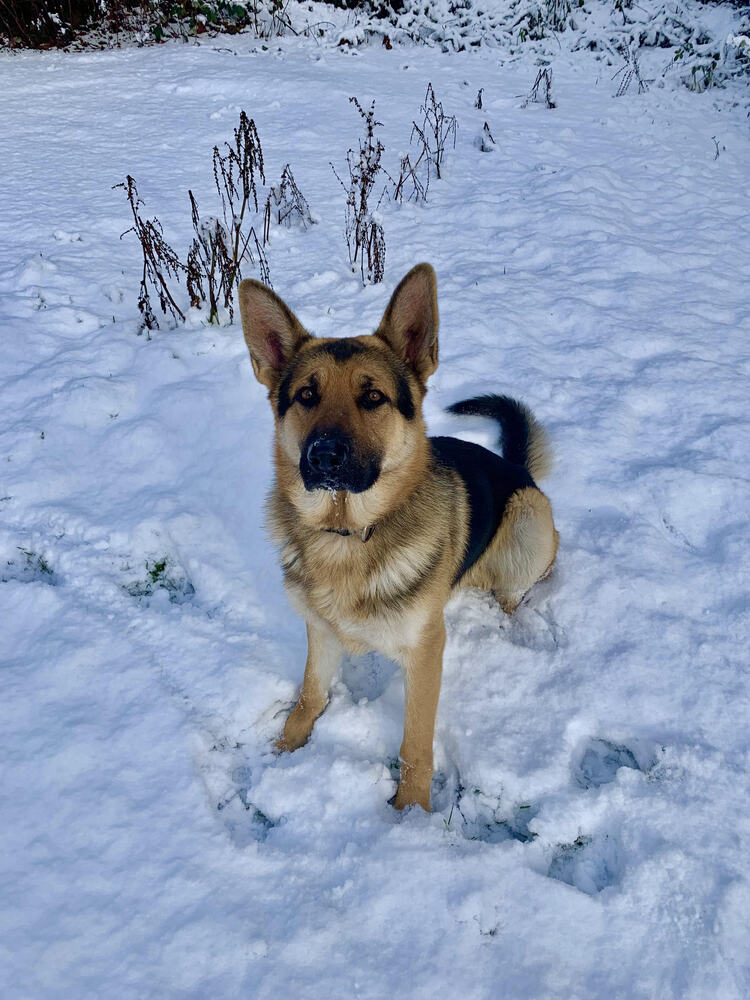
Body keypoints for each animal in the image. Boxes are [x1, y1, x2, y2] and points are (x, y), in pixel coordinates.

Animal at [239, 266, 560, 812]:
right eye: (306, 395)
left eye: (373, 397)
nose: (324, 456)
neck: (348, 535)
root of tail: (517, 468)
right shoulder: (320, 632)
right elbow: (309, 696)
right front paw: (283, 750)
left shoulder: (426, 651)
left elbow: (415, 742)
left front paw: (410, 811)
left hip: (527, 519)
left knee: (515, 589)